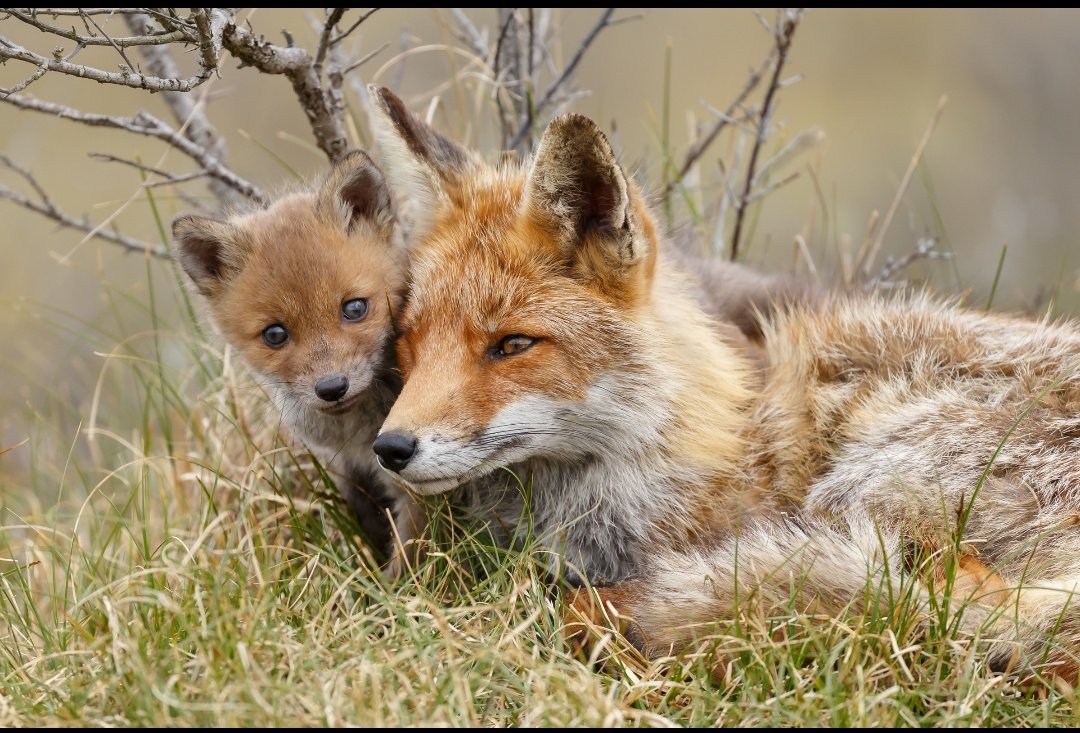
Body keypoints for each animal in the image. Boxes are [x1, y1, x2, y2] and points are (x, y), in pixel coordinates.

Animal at [171, 151, 424, 570]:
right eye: (275, 335)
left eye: (355, 308)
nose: (332, 388)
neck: (356, 433)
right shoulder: (350, 471)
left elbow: (411, 564)